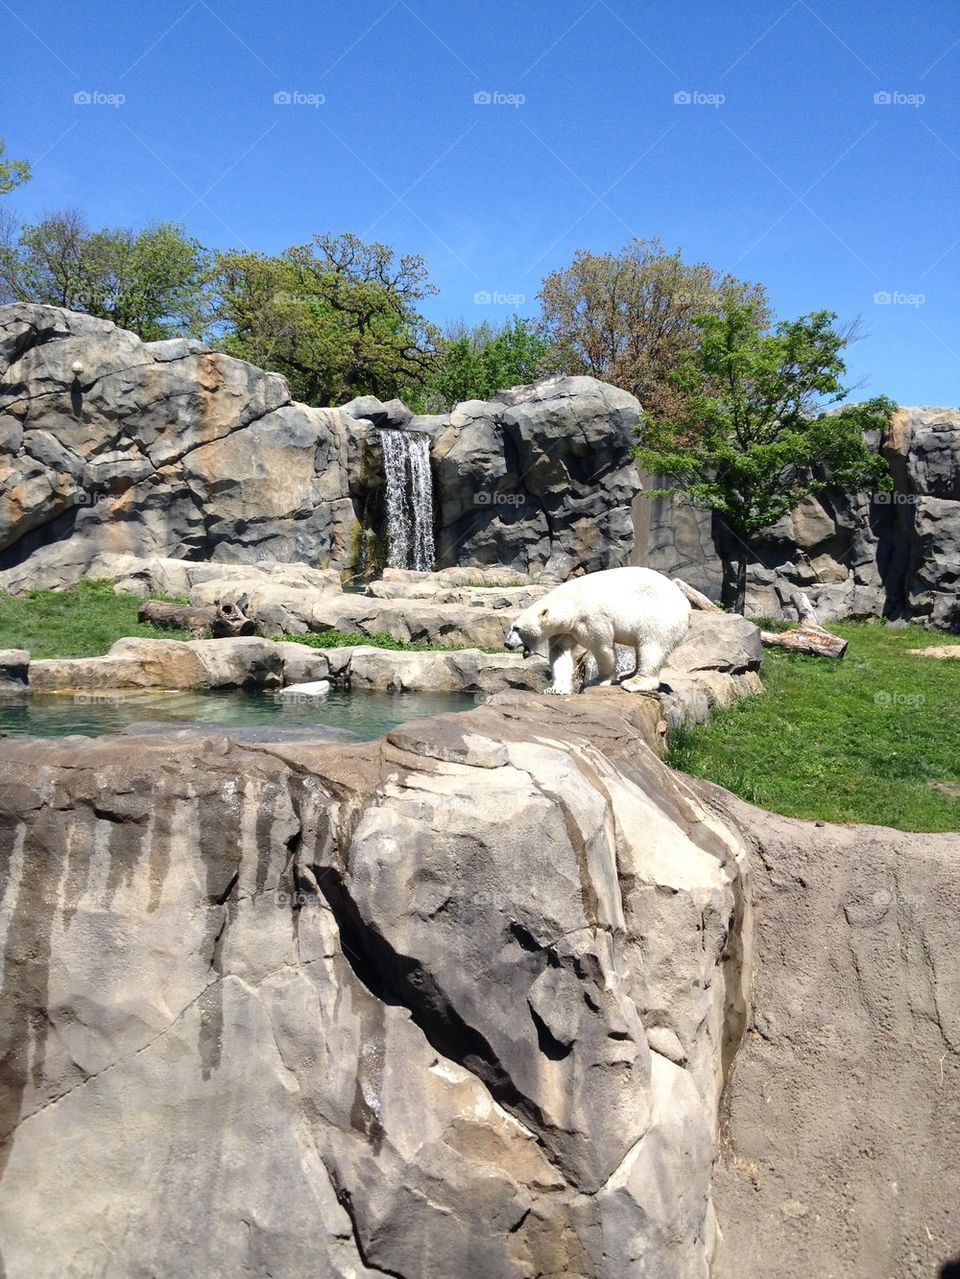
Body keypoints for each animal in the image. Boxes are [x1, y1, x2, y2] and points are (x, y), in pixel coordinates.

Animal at [504, 566, 691, 696]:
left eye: (516, 628)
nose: (507, 643)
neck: (570, 602)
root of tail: (687, 607)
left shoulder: (591, 617)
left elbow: (602, 647)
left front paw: (598, 680)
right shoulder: (565, 630)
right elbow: (560, 652)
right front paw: (556, 689)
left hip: (660, 617)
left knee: (652, 646)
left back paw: (634, 682)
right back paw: (628, 675)